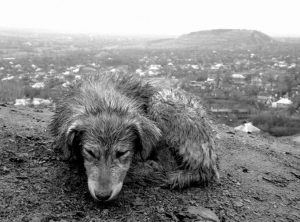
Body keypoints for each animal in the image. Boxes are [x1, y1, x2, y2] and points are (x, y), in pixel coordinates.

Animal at [49, 72, 220, 201]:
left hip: (161, 101)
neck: (103, 101)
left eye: (122, 153)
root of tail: (209, 164)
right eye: (90, 152)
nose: (103, 196)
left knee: (168, 166)